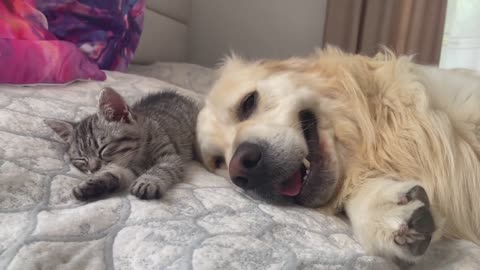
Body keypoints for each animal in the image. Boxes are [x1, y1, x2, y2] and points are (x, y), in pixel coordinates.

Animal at [44, 87, 200, 200]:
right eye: (81, 159)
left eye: (102, 149)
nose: (93, 169)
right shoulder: (129, 168)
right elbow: (117, 173)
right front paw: (94, 185)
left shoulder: (170, 157)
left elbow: (162, 168)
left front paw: (147, 181)